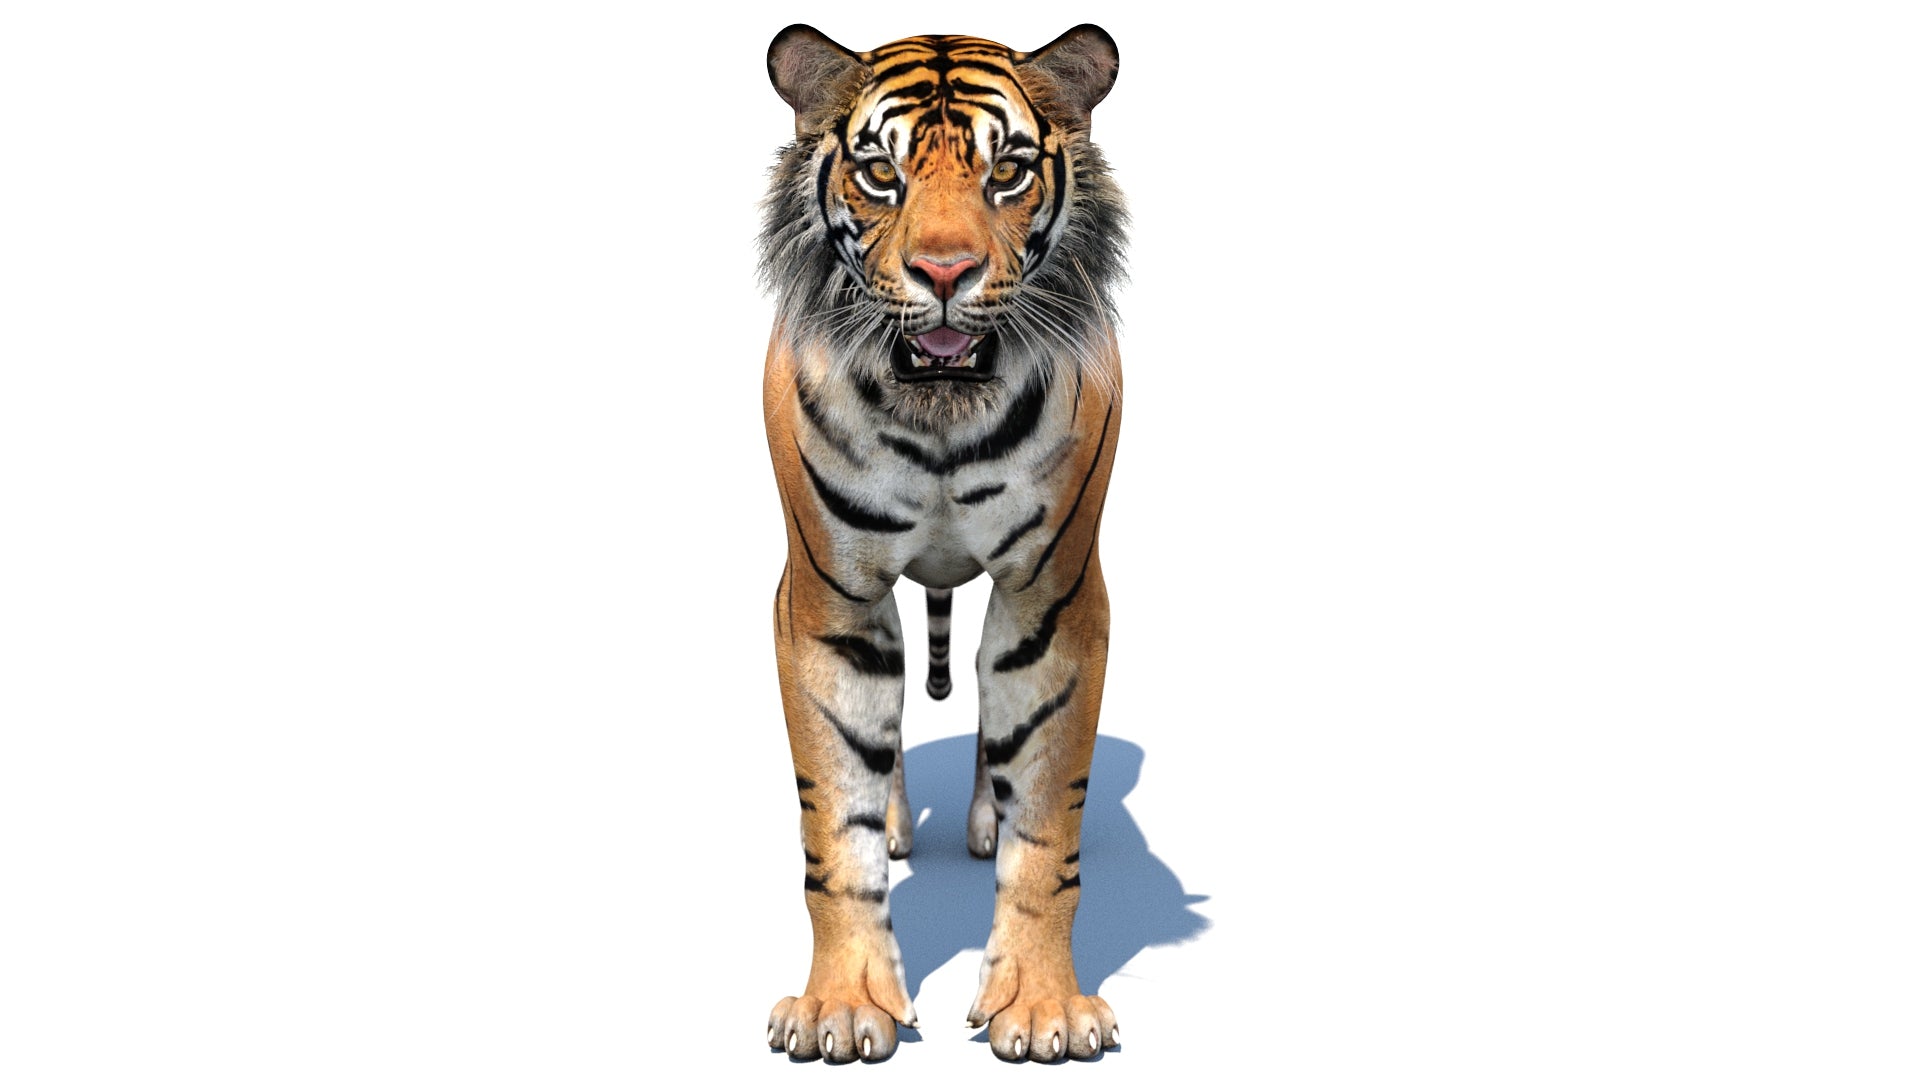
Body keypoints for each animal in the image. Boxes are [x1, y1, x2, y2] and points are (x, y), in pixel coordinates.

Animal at [760, 24, 1127, 1063]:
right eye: (881, 173)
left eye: (1006, 172)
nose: (947, 272)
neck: (938, 419)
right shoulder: (828, 600)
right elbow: (833, 817)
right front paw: (843, 1005)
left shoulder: (1054, 596)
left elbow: (1047, 821)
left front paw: (1042, 1007)